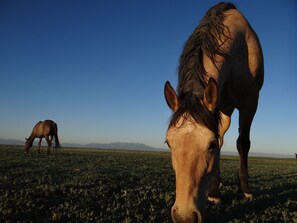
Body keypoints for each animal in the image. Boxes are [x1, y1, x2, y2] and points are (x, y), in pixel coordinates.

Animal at [163, 2, 262, 223]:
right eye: (168, 143)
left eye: (210, 144)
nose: (185, 217)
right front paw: (215, 193)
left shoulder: (250, 103)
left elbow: (243, 143)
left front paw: (245, 190)